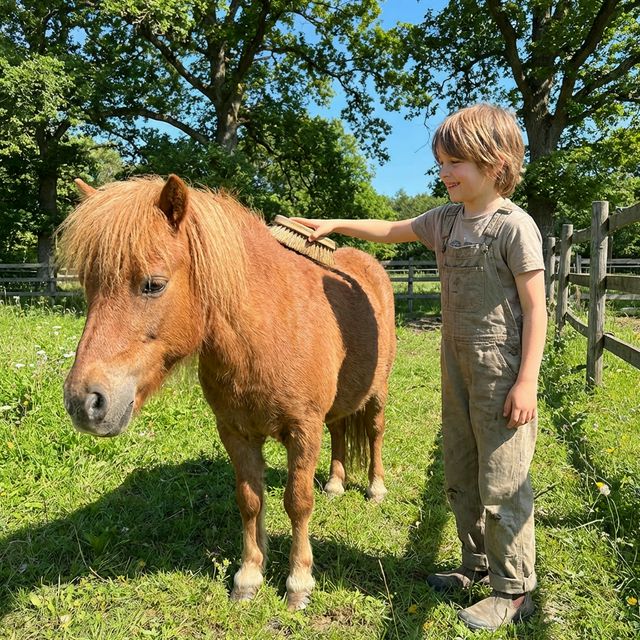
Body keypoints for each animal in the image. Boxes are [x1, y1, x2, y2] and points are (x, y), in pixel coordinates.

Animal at [58, 174, 397, 610]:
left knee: (374, 433)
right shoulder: (236, 433)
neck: (268, 328)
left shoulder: (303, 431)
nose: (84, 402)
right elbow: (250, 501)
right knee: (339, 430)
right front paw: (249, 576)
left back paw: (375, 487)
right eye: (87, 285)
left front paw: (298, 581)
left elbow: (298, 502)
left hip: (377, 394)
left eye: (153, 285)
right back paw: (337, 483)